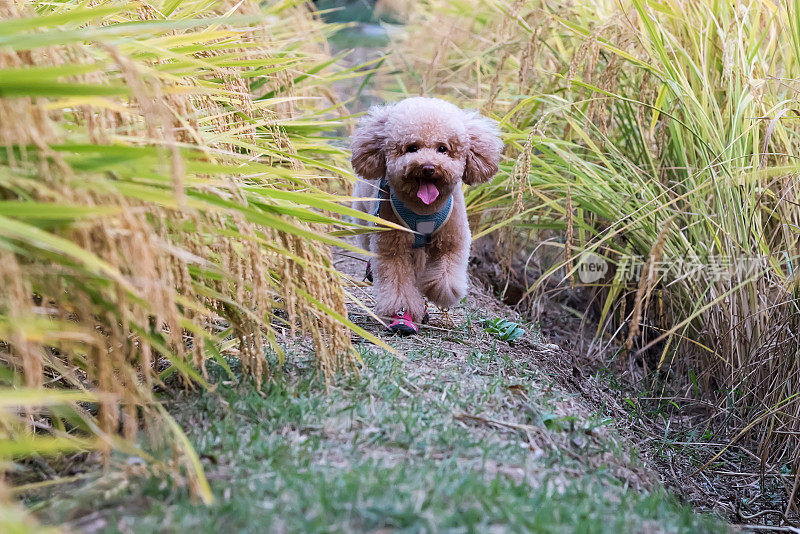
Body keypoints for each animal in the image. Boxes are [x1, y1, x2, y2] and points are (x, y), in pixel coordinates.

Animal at [354, 97, 504, 336]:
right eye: (412, 148)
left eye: (443, 149)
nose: (428, 167)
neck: (423, 209)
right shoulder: (392, 246)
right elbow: (398, 283)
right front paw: (402, 314)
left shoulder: (453, 239)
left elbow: (445, 276)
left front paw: (436, 292)